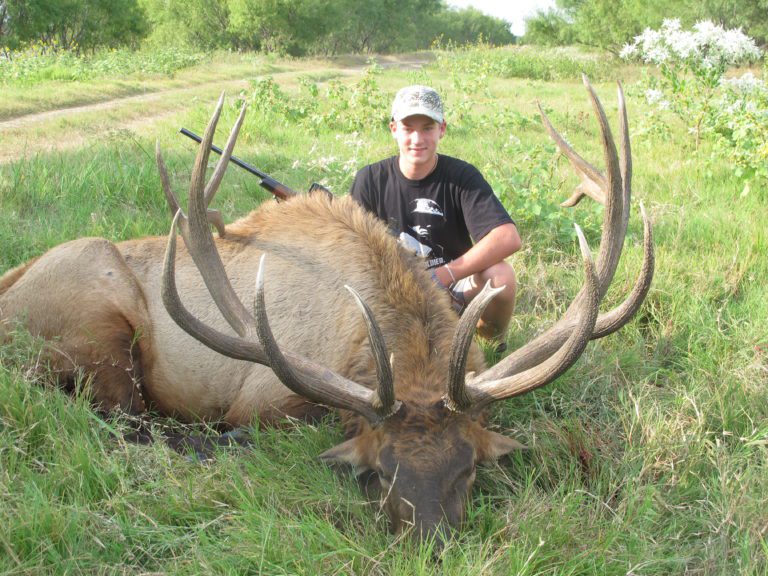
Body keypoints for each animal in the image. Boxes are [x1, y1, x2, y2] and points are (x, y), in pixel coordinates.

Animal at [0, 77, 653, 543]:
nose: (431, 542)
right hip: (97, 315)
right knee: (123, 419)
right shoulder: (260, 400)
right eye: (381, 472)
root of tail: (9, 293)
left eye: (468, 467)